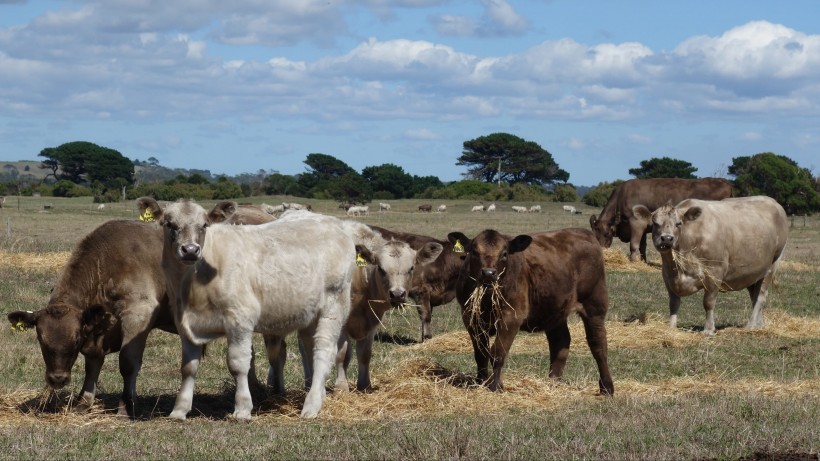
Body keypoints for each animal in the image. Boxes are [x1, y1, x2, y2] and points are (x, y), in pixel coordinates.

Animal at [139, 196, 356, 418]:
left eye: (204, 225)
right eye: (169, 224)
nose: (190, 250)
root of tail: (334, 224)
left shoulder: (240, 318)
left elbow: (238, 364)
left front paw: (242, 408)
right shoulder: (185, 324)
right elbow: (188, 367)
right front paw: (179, 410)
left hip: (333, 307)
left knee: (324, 351)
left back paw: (311, 406)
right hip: (309, 316)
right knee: (310, 348)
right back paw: (318, 396)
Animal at [336, 225, 446, 390]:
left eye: (411, 268)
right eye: (381, 269)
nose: (397, 294)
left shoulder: (372, 320)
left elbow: (364, 354)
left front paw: (365, 386)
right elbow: (343, 355)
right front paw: (341, 388)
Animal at [448, 228, 616, 394]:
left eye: (504, 253)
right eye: (474, 251)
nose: (488, 273)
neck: (488, 299)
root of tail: (584, 232)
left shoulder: (512, 317)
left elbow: (498, 352)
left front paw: (495, 386)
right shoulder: (470, 317)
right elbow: (481, 353)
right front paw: (480, 382)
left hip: (595, 306)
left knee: (598, 344)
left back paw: (607, 387)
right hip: (555, 311)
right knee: (560, 342)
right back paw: (553, 382)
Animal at [588, 177, 732, 260]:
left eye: (607, 234)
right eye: (594, 234)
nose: (601, 252)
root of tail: (725, 182)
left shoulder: (636, 222)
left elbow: (634, 244)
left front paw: (634, 260)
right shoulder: (644, 226)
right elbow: (642, 246)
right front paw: (643, 261)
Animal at [636, 194, 788, 334]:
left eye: (679, 223)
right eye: (655, 223)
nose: (667, 238)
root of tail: (773, 202)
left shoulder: (715, 272)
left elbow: (708, 303)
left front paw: (708, 329)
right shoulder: (668, 275)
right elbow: (673, 303)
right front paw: (671, 327)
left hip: (773, 263)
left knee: (761, 296)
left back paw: (750, 325)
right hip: (753, 272)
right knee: (755, 296)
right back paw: (759, 324)